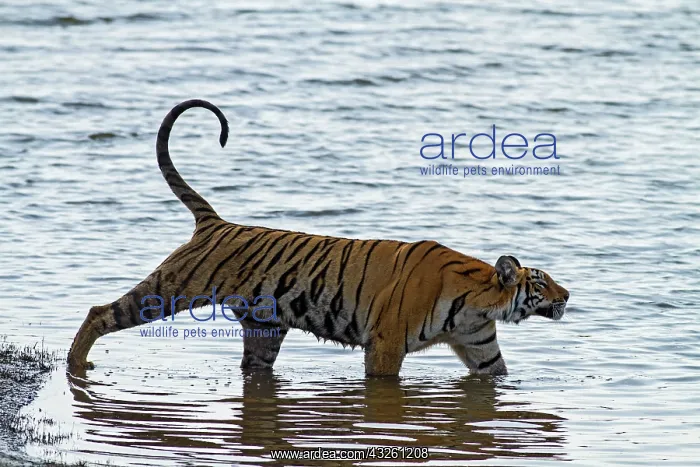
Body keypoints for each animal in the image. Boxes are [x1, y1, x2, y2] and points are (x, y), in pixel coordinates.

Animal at [67, 99, 569, 377]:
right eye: (541, 282)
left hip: (265, 328)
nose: (569, 295)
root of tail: (215, 222)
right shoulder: (385, 343)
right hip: (170, 291)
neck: (481, 302)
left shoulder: (480, 348)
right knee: (101, 311)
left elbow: (497, 375)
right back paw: (76, 363)